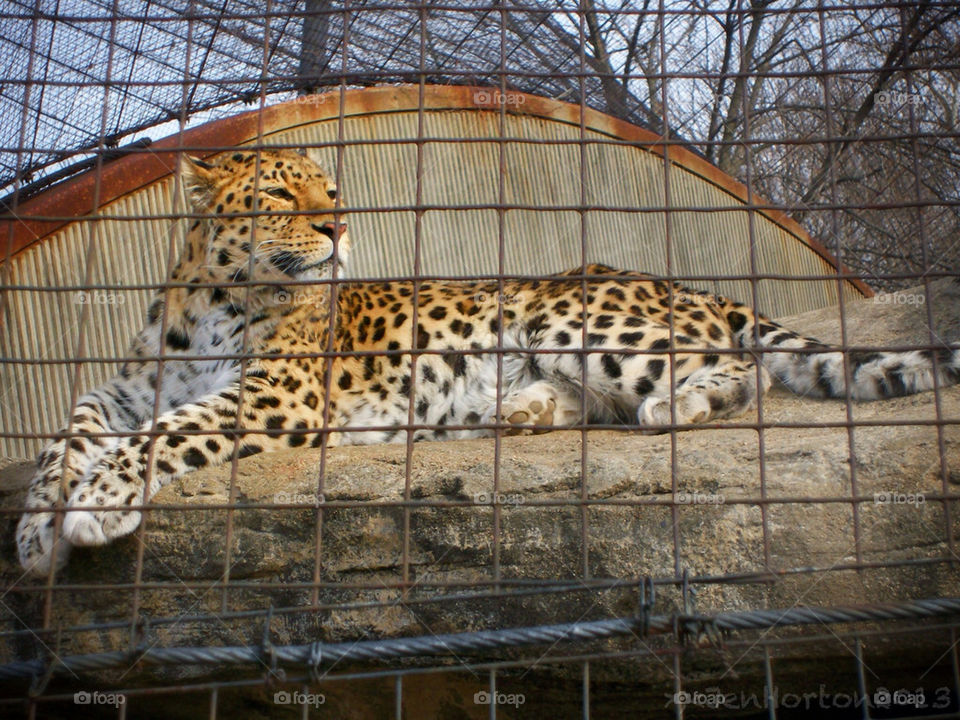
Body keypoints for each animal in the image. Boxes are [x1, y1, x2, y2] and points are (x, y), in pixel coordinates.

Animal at [16, 147, 960, 577]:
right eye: (283, 194)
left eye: (331, 189)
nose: (339, 225)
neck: (209, 300)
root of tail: (679, 282)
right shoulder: (126, 385)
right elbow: (69, 430)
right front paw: (36, 526)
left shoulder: (278, 392)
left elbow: (165, 437)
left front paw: (94, 503)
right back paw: (523, 411)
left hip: (571, 319)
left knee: (735, 368)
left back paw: (678, 406)